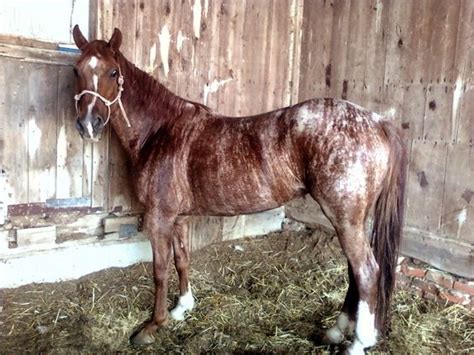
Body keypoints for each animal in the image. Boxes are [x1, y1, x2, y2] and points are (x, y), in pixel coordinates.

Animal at [71, 25, 408, 355]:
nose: (88, 124)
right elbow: (182, 260)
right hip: (351, 221)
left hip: (344, 218)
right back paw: (337, 332)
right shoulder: (178, 218)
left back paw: (358, 343)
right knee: (354, 273)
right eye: (77, 70)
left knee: (366, 273)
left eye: (113, 72)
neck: (161, 132)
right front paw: (182, 308)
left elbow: (160, 271)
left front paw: (153, 326)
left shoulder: (158, 219)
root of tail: (377, 121)